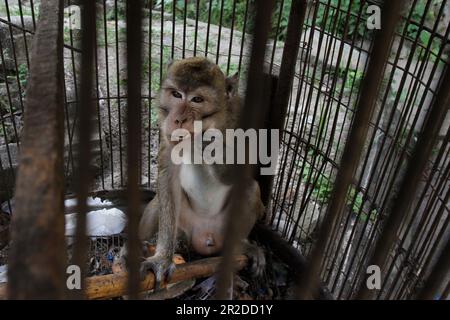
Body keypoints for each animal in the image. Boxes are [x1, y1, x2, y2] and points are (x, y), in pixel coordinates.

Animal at [120, 57, 268, 288]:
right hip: (184, 229)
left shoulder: (242, 119)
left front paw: (210, 143)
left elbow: (245, 168)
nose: (179, 119)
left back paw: (241, 250)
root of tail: (205, 237)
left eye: (197, 99)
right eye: (176, 94)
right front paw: (162, 259)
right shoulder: (167, 131)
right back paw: (134, 246)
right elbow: (167, 178)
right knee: (160, 200)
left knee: (250, 188)